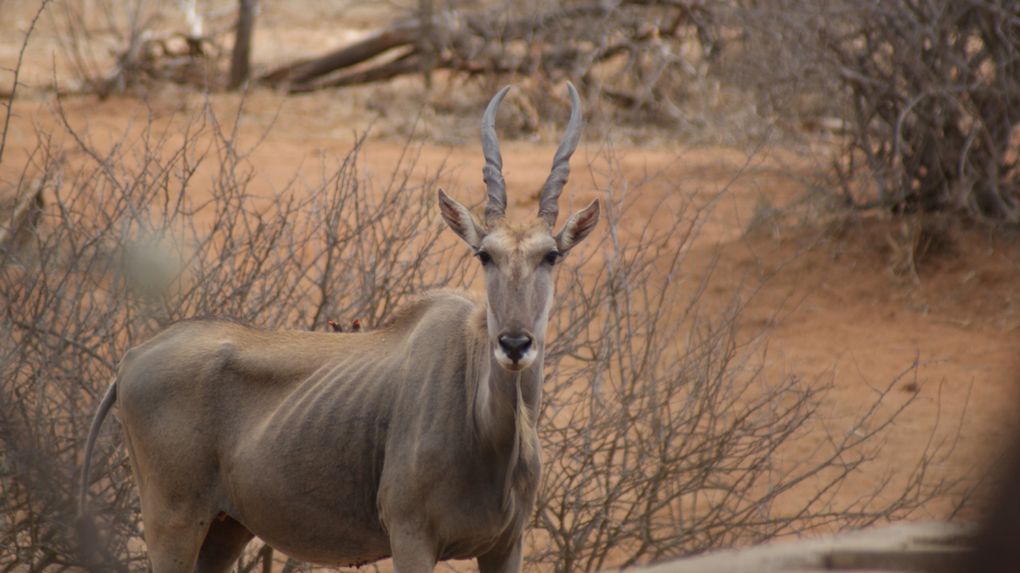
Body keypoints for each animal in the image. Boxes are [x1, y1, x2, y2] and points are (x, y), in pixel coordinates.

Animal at [83, 81, 599, 570]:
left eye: (551, 255)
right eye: (484, 254)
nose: (514, 344)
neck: (487, 427)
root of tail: (131, 359)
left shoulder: (505, 546)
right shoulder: (411, 537)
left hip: (225, 530)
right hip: (172, 523)